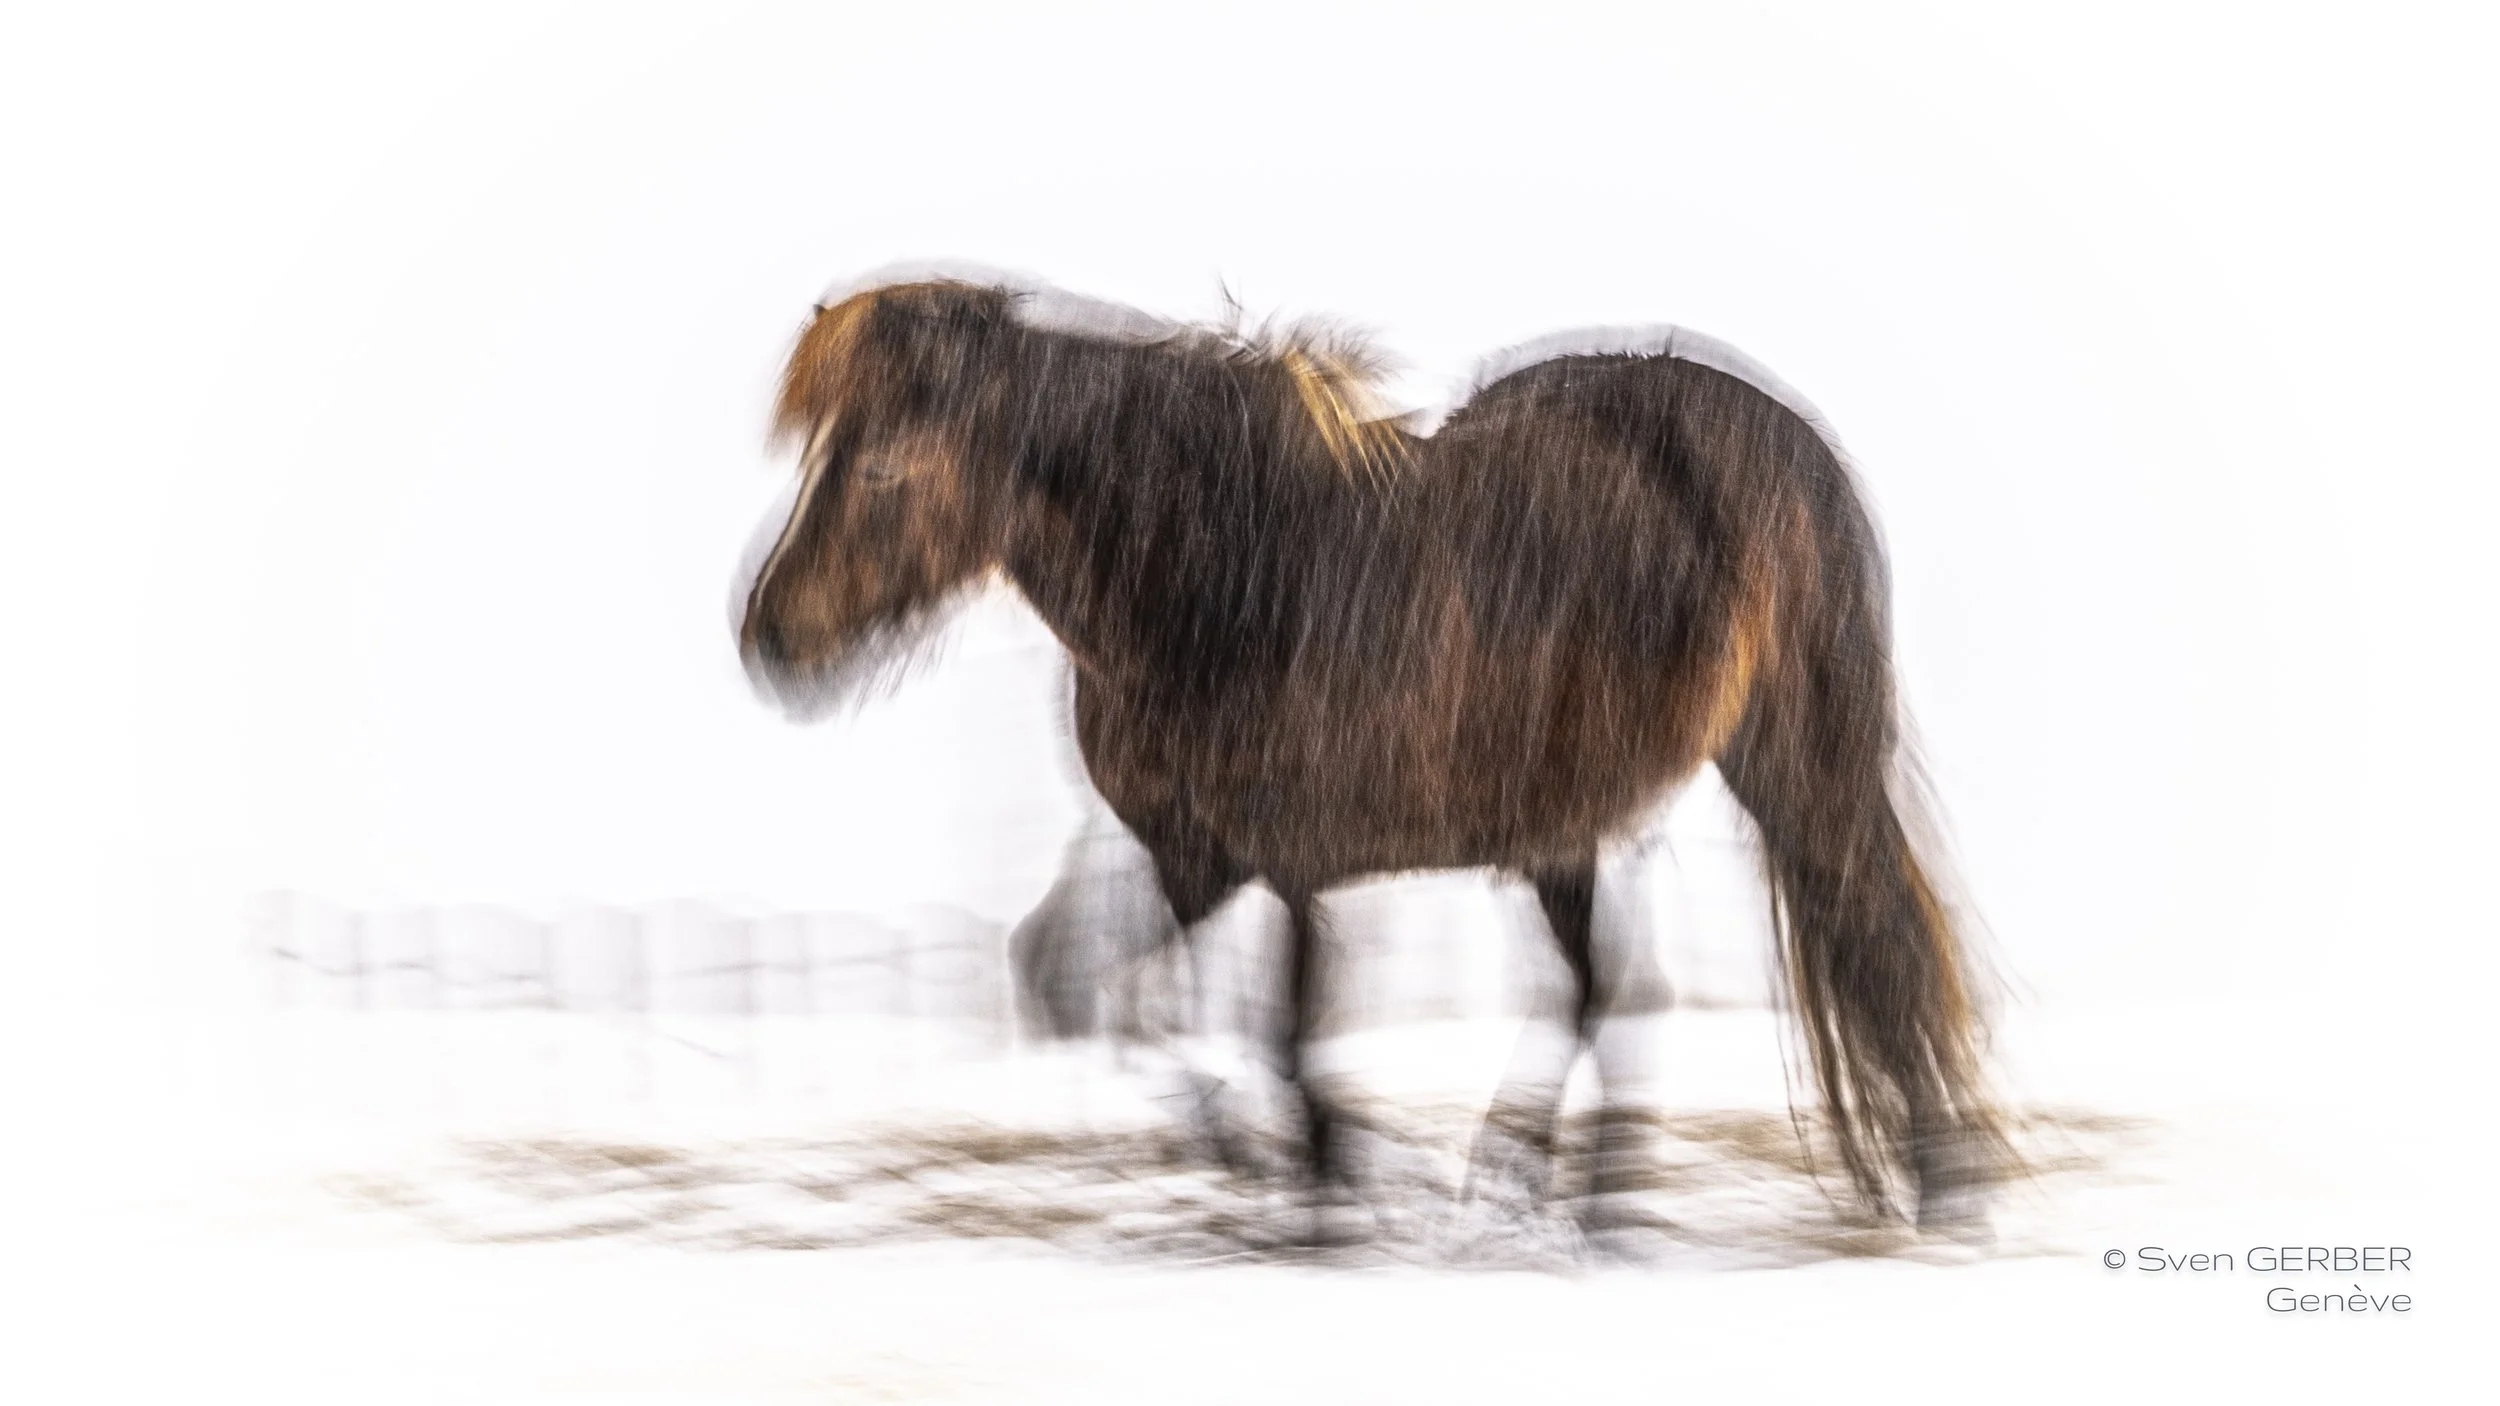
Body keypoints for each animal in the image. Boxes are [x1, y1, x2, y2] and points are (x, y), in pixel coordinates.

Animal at [736, 270, 2005, 1228]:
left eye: (884, 465)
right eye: (816, 454)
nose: (768, 638)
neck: (1224, 582)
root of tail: (1791, 440)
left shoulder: (1294, 868)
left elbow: (1284, 1037)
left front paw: (1327, 1180)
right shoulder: (1194, 862)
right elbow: (1080, 987)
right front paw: (1281, 1161)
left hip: (1799, 766)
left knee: (1871, 932)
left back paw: (1928, 1183)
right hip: (1558, 828)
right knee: (1608, 987)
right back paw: (1545, 1183)